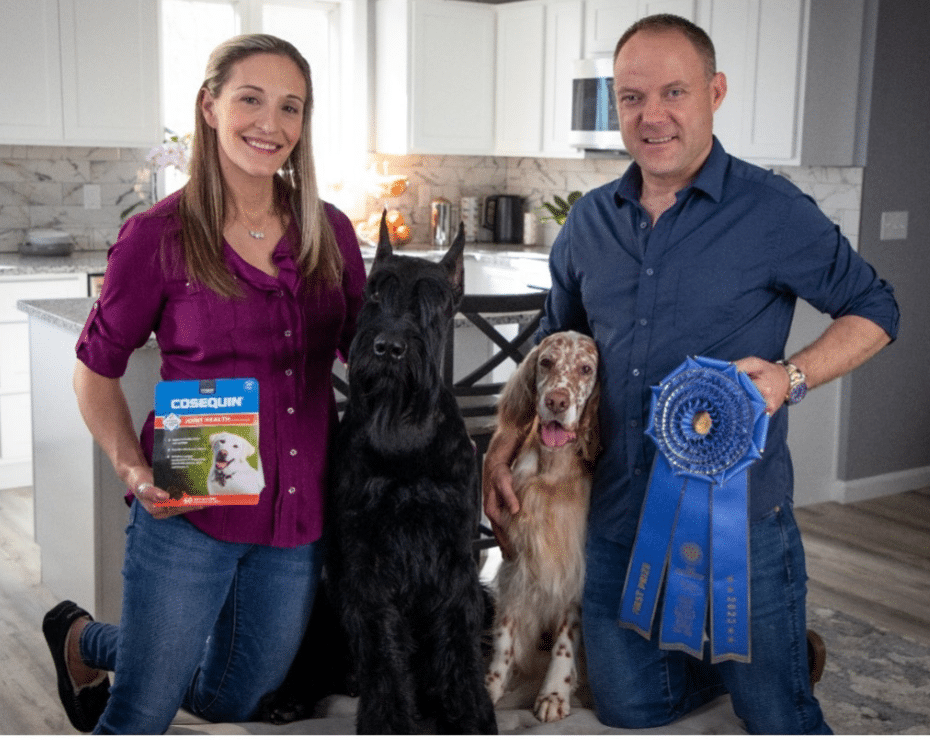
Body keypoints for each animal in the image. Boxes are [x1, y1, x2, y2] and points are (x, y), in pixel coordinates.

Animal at [326, 214, 500, 736]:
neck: (402, 430)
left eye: (433, 300)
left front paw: (469, 713)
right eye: (375, 292)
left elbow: (457, 639)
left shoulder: (454, 554)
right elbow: (382, 648)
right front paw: (388, 720)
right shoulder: (366, 559)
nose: (388, 348)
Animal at [482, 330, 600, 724]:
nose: (557, 401)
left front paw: (554, 693)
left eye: (585, 369)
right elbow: (505, 636)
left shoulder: (575, 567)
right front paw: (490, 687)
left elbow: (566, 641)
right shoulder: (515, 564)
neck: (553, 471)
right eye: (546, 362)